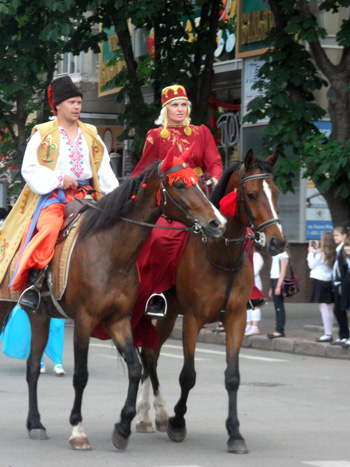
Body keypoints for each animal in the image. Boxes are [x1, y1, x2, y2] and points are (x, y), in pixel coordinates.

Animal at [0, 148, 227, 452]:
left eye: (201, 183)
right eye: (180, 184)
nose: (218, 223)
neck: (112, 251)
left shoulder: (118, 319)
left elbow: (135, 367)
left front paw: (123, 426)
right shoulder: (84, 320)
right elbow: (81, 375)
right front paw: (78, 430)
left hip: (40, 316)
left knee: (33, 366)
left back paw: (35, 424)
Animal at [135, 150, 286, 454]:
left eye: (275, 192)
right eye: (252, 194)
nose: (277, 243)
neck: (222, 254)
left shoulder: (236, 318)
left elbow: (233, 377)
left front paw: (235, 434)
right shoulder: (193, 319)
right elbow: (188, 375)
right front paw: (177, 422)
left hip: (170, 315)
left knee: (151, 354)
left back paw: (149, 415)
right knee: (148, 355)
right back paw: (153, 413)